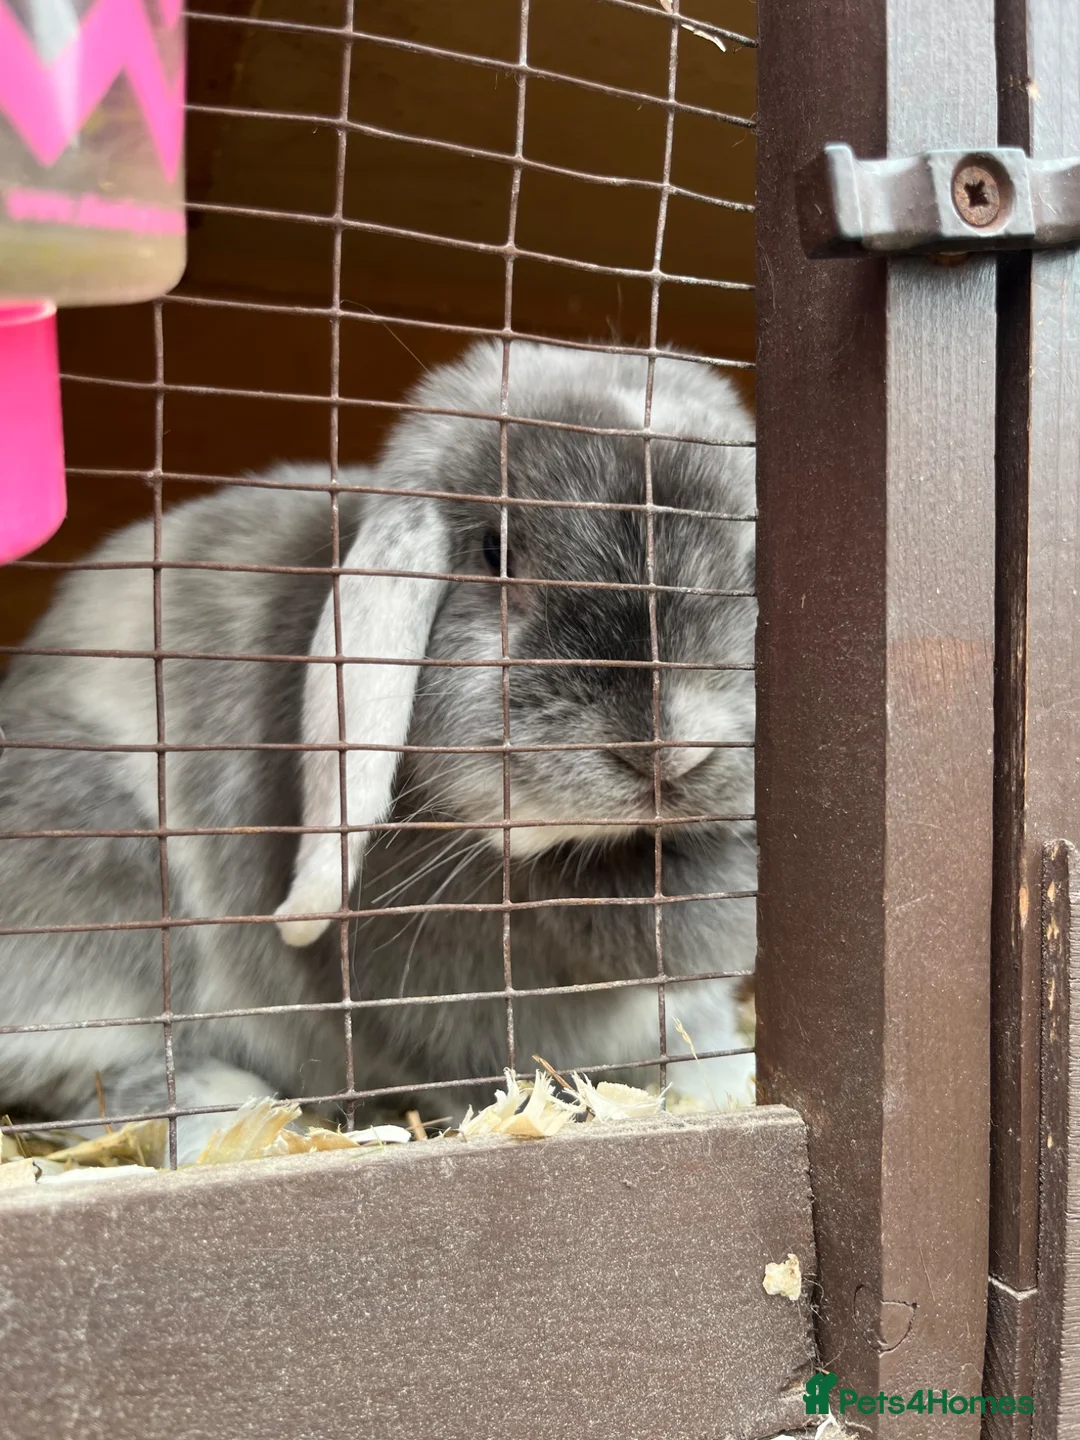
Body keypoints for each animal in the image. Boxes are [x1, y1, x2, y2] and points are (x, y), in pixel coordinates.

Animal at [0, 340, 757, 1161]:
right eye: (493, 550)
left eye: (753, 563)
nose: (672, 750)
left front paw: (729, 1092)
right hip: (111, 888)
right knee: (113, 1078)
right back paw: (235, 1123)